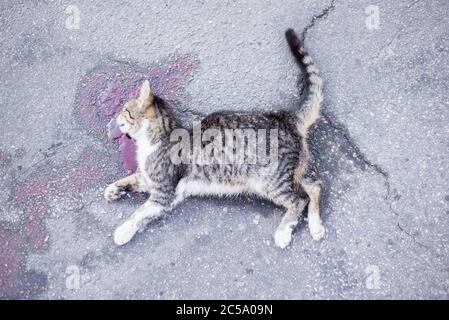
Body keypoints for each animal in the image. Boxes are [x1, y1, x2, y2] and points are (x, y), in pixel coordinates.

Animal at [103, 28, 324, 249]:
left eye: (124, 109)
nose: (114, 117)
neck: (152, 141)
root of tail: (287, 116)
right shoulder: (150, 181)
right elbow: (132, 178)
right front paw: (113, 189)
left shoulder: (163, 194)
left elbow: (138, 213)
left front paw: (122, 231)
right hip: (293, 171)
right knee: (315, 186)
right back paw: (316, 227)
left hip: (270, 180)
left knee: (299, 199)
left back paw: (284, 231)